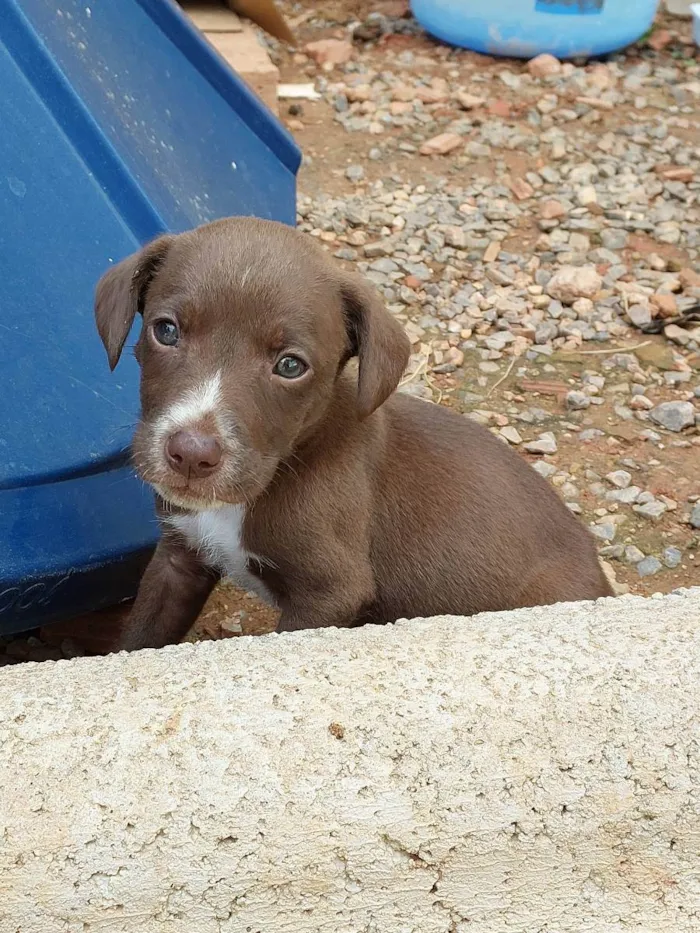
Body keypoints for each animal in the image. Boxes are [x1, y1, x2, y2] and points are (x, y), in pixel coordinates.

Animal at [94, 216, 612, 648]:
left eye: (290, 365)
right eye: (166, 331)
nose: (191, 455)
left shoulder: (330, 593)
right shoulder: (179, 556)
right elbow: (141, 637)